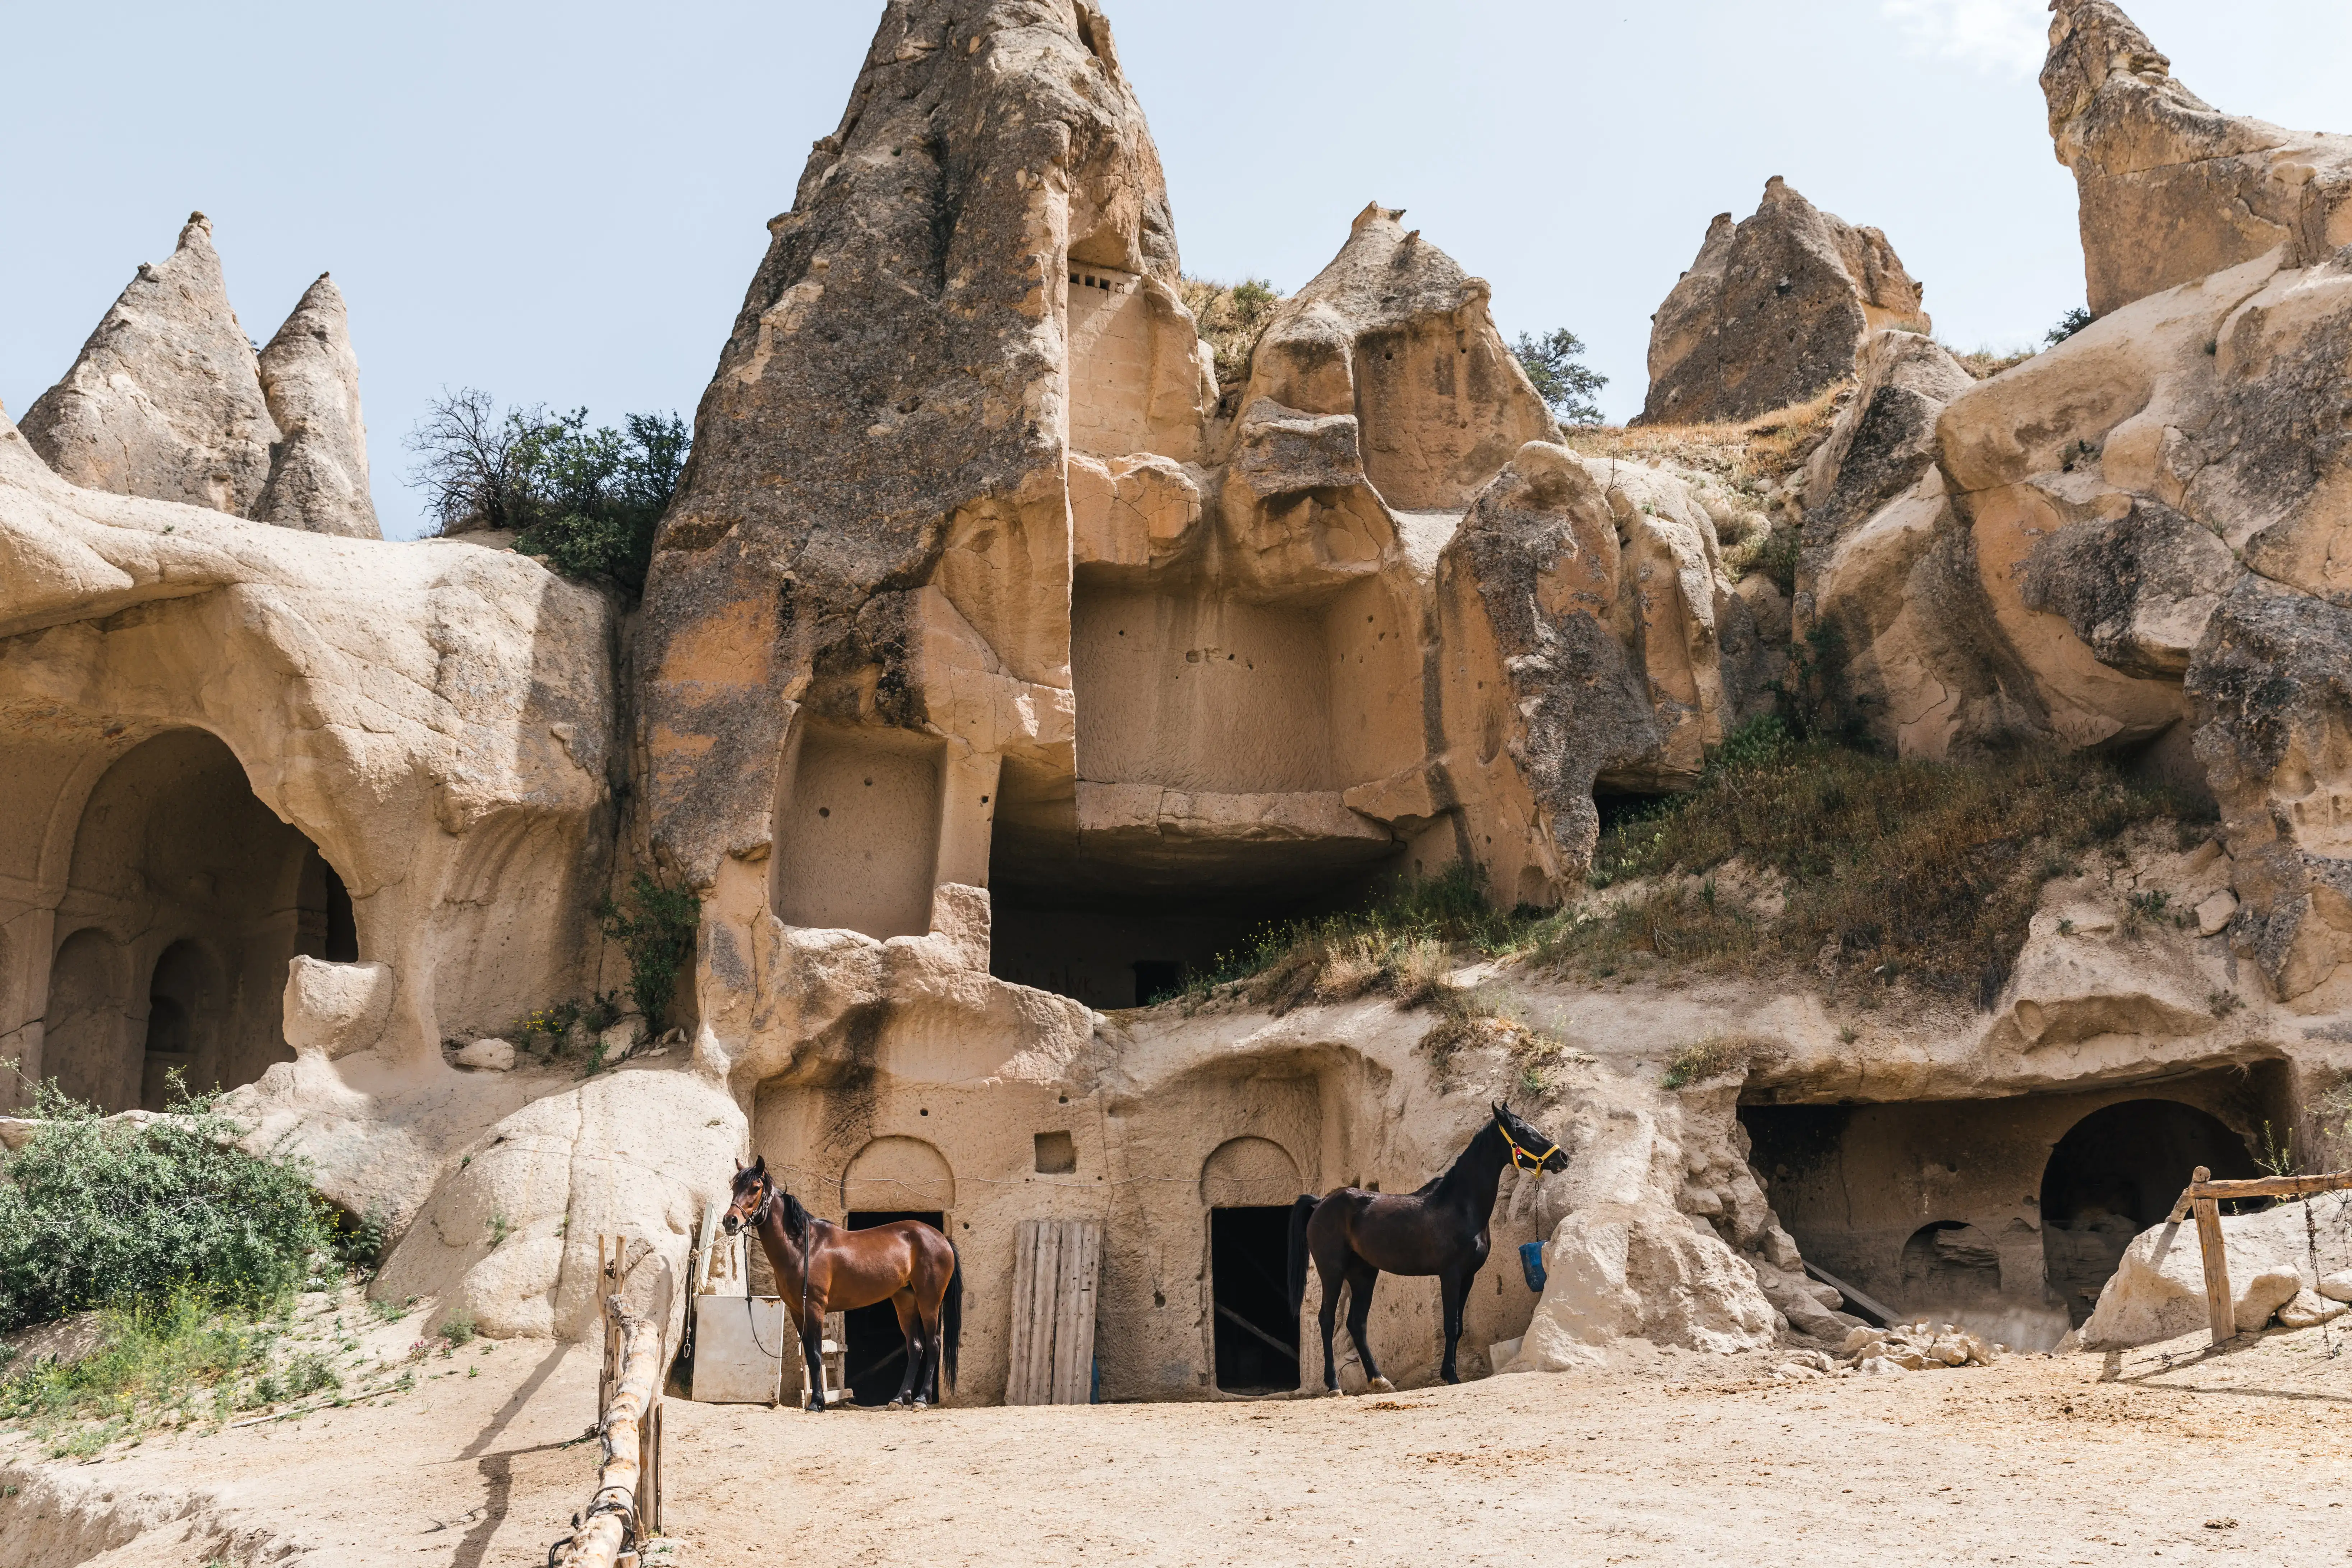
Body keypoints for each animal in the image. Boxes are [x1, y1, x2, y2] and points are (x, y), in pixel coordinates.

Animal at [724, 1161, 964, 1420]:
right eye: (734, 1186)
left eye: (756, 1187)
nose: (730, 1221)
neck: (803, 1247)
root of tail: (942, 1238)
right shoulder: (798, 1311)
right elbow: (810, 1355)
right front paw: (817, 1401)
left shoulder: (815, 1308)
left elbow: (817, 1355)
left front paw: (817, 1403)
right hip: (905, 1301)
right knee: (915, 1346)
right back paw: (899, 1399)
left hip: (929, 1301)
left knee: (933, 1344)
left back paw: (921, 1399)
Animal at [1289, 1105, 1561, 1401]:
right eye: (1521, 1130)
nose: (1562, 1157)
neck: (1460, 1206)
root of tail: (1321, 1203)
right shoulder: (1450, 1275)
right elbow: (1451, 1325)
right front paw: (1451, 1376)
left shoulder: (1468, 1277)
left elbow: (1458, 1327)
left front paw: (1449, 1373)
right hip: (1332, 1272)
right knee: (1327, 1320)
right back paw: (1334, 1386)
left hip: (1364, 1274)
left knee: (1356, 1324)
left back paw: (1380, 1380)